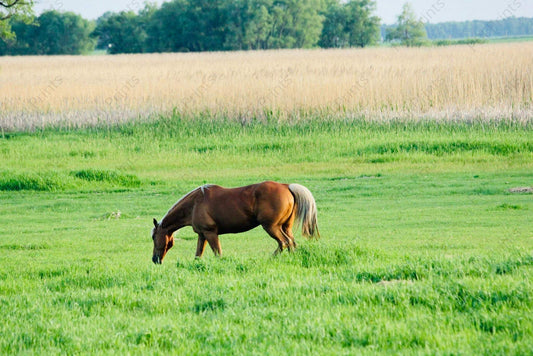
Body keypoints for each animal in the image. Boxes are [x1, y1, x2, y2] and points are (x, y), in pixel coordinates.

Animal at [150, 182, 318, 262]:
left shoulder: (211, 233)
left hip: (271, 227)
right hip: (285, 227)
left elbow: (218, 253)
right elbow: (198, 255)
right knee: (291, 243)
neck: (195, 204)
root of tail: (287, 186)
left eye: (153, 237)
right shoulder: (202, 235)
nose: (154, 259)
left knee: (284, 242)